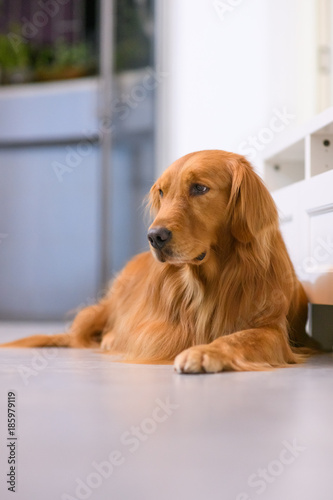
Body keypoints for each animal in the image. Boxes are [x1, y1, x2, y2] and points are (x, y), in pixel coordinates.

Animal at [1, 148, 320, 372]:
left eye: (199, 188)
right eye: (162, 192)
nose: (154, 236)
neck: (212, 277)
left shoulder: (271, 329)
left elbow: (238, 336)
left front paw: (207, 351)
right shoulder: (159, 329)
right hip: (105, 307)